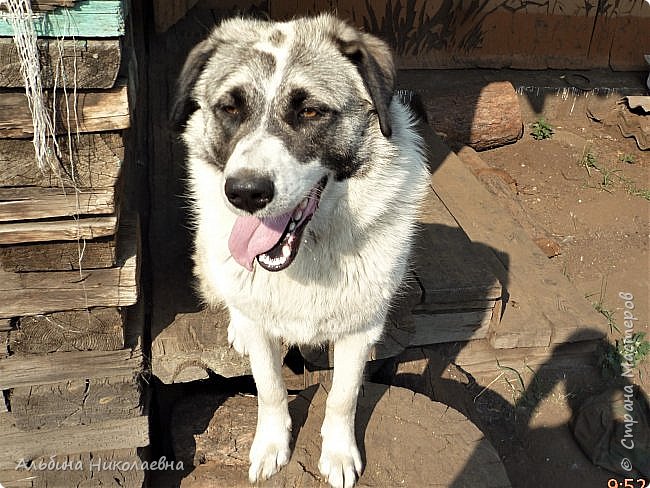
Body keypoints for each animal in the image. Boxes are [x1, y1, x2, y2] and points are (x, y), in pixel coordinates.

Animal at [170, 12, 428, 488]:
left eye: (309, 111)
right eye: (230, 109)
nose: (245, 193)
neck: (308, 256)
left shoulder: (358, 330)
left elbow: (343, 397)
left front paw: (339, 454)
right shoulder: (264, 339)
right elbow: (270, 389)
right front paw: (272, 447)